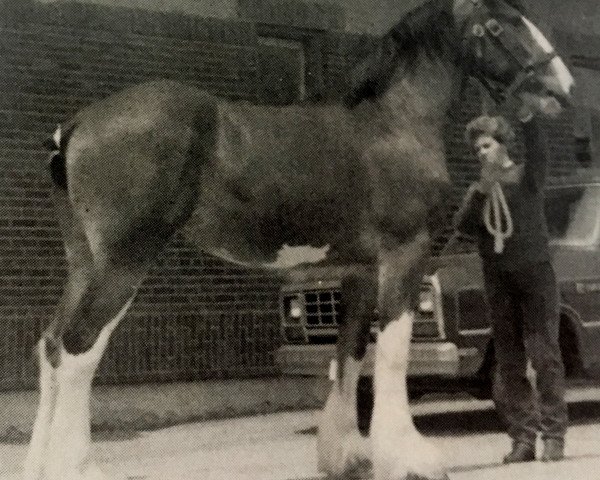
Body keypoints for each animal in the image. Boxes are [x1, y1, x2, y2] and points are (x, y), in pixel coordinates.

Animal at [23, 0, 576, 480]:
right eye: (503, 24)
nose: (564, 89)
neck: (391, 121)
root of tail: (77, 125)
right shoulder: (405, 253)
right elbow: (393, 352)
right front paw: (410, 459)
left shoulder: (358, 271)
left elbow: (350, 355)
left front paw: (348, 455)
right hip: (122, 263)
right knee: (78, 349)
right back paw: (79, 467)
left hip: (85, 263)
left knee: (51, 346)